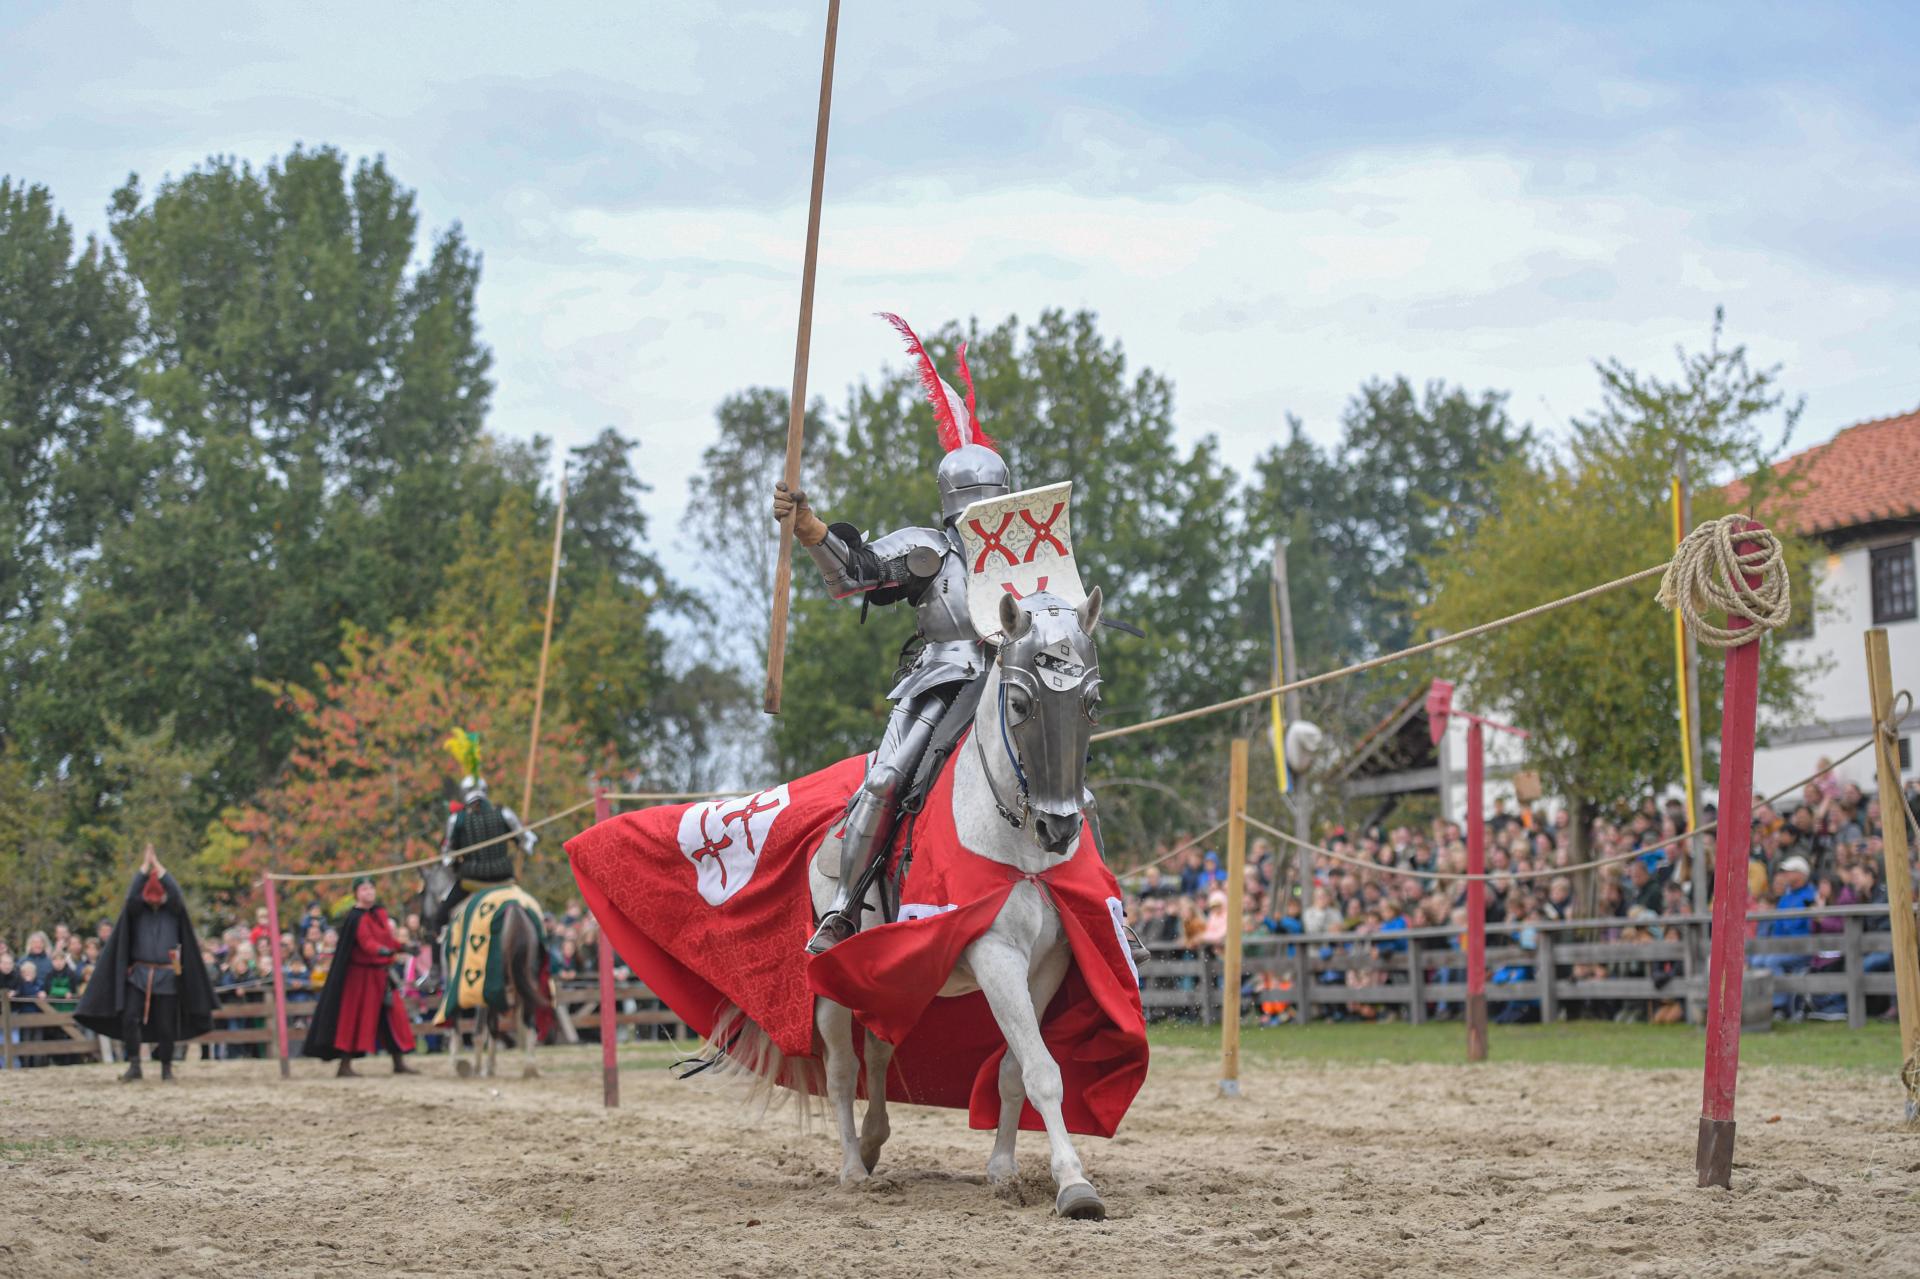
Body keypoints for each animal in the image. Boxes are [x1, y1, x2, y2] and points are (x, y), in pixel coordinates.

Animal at [806, 583, 1113, 1213]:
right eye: (1019, 703)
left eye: (1093, 704)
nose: (1059, 828)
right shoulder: (996, 954)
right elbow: (1043, 1069)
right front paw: (1074, 1185)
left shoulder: (1050, 962)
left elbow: (1016, 1070)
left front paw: (1004, 1170)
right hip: (834, 981)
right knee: (843, 1068)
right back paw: (852, 1169)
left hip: (895, 973)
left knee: (880, 1047)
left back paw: (872, 1145)